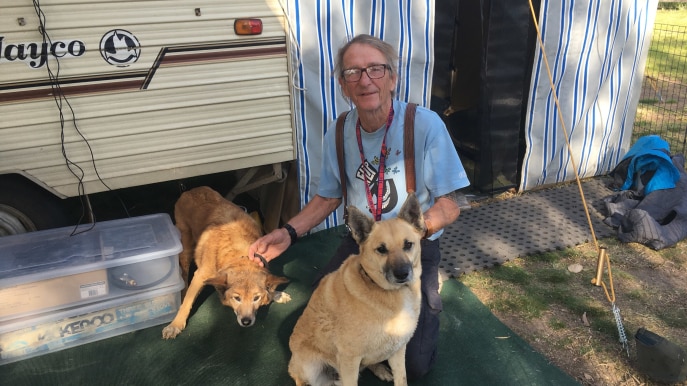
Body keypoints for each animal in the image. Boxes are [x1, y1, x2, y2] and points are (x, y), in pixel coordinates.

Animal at [163, 185, 292, 340]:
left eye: (256, 298)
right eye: (237, 298)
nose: (246, 322)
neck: (239, 256)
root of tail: (191, 190)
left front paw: (277, 294)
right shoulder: (200, 276)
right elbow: (188, 301)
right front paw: (175, 325)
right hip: (186, 247)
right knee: (184, 273)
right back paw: (182, 292)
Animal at [286, 193, 424, 386]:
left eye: (408, 245)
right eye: (381, 249)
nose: (403, 274)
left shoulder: (397, 350)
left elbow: (401, 378)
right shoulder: (349, 359)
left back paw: (380, 370)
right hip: (310, 368)